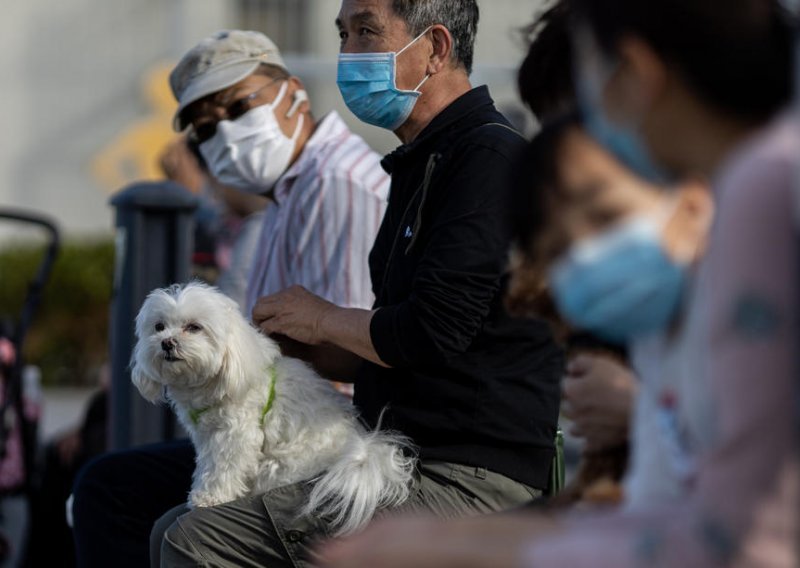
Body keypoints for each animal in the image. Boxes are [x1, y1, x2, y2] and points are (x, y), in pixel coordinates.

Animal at [132, 282, 416, 536]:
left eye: (194, 327)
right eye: (159, 326)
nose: (167, 343)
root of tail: (361, 452)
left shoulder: (236, 433)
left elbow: (224, 466)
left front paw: (209, 496)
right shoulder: (207, 436)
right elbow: (208, 463)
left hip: (277, 468)